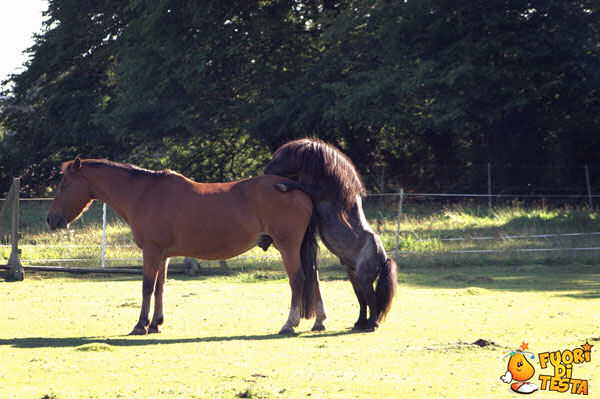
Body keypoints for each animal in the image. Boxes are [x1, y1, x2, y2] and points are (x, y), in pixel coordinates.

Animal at [45, 158, 328, 336]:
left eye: (63, 185)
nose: (51, 219)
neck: (144, 193)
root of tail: (297, 189)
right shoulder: (163, 255)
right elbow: (160, 287)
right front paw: (156, 324)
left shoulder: (151, 252)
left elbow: (147, 287)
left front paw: (140, 325)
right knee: (313, 276)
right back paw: (319, 322)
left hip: (287, 245)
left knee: (298, 279)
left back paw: (289, 324)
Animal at [264, 139, 398, 332]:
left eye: (284, 156)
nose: (265, 170)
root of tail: (384, 258)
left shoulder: (314, 192)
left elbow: (298, 184)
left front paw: (283, 185)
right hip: (354, 278)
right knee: (362, 300)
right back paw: (359, 323)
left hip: (364, 279)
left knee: (371, 299)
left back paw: (372, 324)